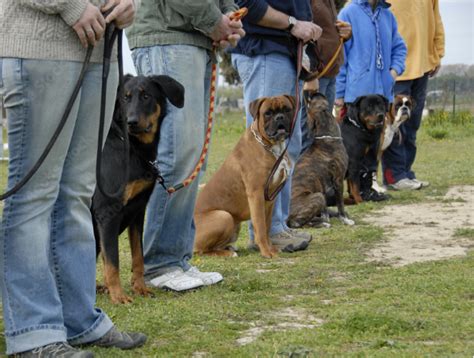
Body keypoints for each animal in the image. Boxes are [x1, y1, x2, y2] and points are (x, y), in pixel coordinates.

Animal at [91, 74, 184, 304]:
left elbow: (138, 256)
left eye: (146, 96)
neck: (132, 147)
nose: (131, 122)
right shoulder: (107, 212)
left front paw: (140, 288)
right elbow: (112, 261)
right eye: (125, 98)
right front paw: (118, 295)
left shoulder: (138, 210)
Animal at [192, 95, 292, 258]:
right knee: (201, 251)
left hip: (234, 224)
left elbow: (267, 226)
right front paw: (266, 252)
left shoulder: (270, 199)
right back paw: (227, 254)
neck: (270, 146)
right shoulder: (256, 195)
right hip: (224, 216)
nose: (280, 117)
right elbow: (260, 227)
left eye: (287, 109)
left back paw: (229, 249)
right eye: (267, 113)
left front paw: (271, 248)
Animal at [286, 91, 354, 228]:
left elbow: (325, 210)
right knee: (300, 223)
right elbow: (340, 205)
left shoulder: (323, 186)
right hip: (317, 196)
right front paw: (345, 219)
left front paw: (326, 216)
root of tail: (286, 219)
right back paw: (323, 224)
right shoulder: (338, 180)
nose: (307, 91)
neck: (325, 137)